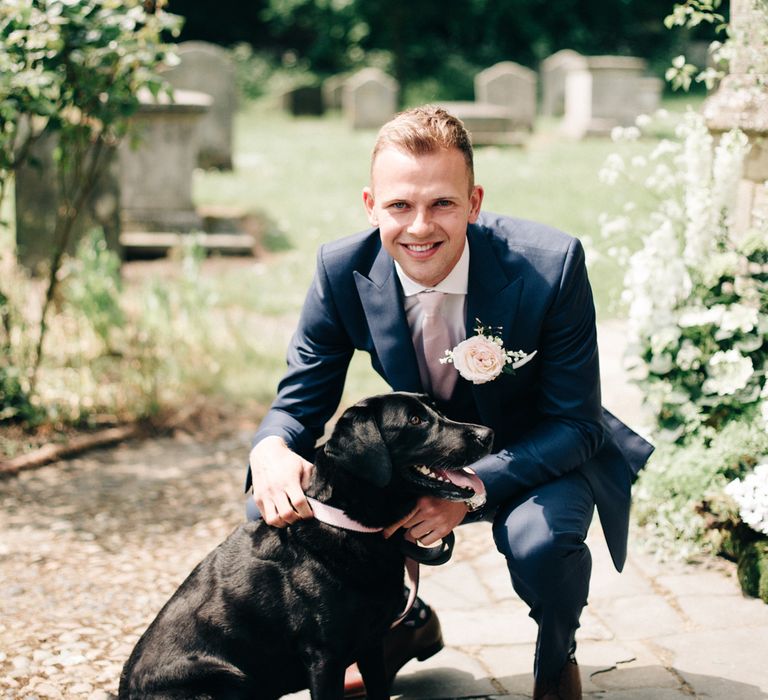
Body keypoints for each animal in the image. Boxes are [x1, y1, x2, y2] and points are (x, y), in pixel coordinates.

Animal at [118, 394, 492, 700]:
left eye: (438, 410)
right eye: (415, 420)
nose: (487, 433)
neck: (346, 522)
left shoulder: (371, 645)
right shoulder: (324, 658)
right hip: (228, 680)